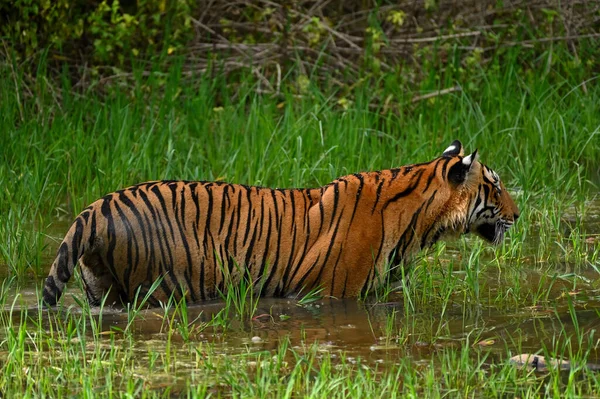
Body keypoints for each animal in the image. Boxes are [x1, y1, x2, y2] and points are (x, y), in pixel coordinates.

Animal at [42, 140, 520, 306]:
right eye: (495, 187)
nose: (518, 216)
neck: (422, 224)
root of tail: (95, 207)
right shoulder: (336, 293)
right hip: (155, 288)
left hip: (102, 291)